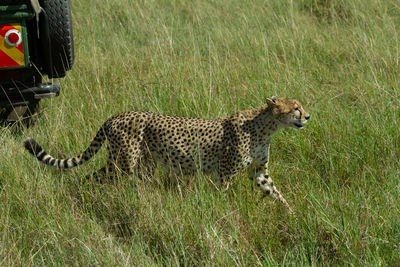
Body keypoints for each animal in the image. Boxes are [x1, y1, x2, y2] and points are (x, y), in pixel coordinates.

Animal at [24, 96, 310, 211]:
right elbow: (223, 196)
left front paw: (292, 214)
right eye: (295, 107)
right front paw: (225, 215)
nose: (307, 116)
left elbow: (276, 193)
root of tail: (117, 115)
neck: (267, 126)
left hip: (143, 165)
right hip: (123, 161)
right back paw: (88, 197)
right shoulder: (225, 173)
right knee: (93, 177)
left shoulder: (258, 171)